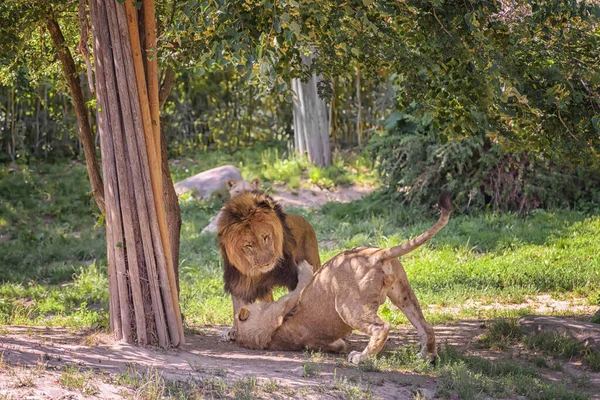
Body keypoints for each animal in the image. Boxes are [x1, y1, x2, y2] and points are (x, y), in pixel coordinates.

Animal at [216, 191, 318, 340]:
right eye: (249, 246)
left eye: (265, 237)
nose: (267, 263)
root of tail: (304, 219)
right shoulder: (238, 280)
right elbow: (238, 306)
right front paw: (234, 330)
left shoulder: (293, 278)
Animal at [234, 192, 450, 364]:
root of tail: (376, 255)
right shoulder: (281, 313)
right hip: (352, 306)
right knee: (383, 327)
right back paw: (363, 358)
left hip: (400, 292)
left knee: (426, 327)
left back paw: (427, 357)